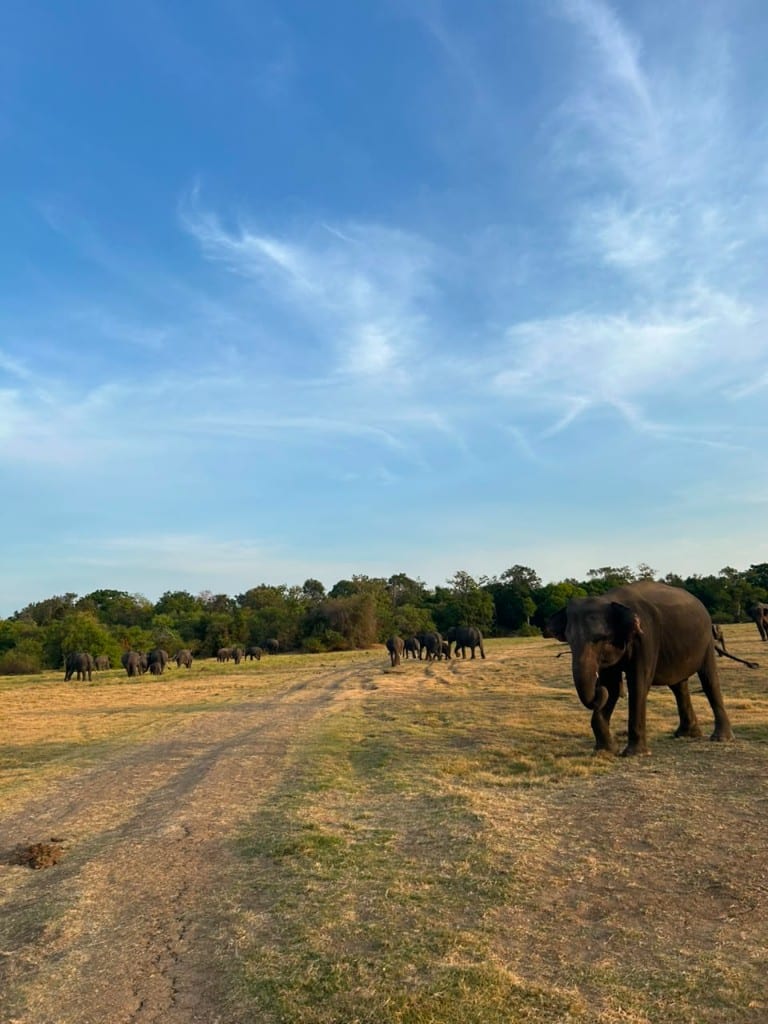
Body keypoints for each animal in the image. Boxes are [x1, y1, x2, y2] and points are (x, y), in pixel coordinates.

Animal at [545, 581, 734, 756]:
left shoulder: (646, 637)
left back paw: (720, 738)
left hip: (706, 641)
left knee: (709, 680)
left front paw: (634, 753)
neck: (610, 600)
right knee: (679, 686)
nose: (598, 688)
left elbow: (638, 682)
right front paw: (605, 750)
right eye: (569, 640)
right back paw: (686, 734)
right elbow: (612, 687)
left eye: (601, 638)